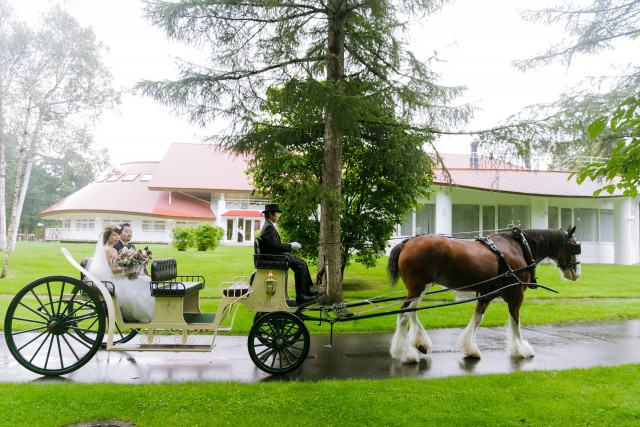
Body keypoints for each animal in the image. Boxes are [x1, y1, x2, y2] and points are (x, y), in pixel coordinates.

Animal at [384, 226, 580, 362]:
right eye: (574, 246)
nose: (577, 273)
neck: (519, 248)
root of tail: (406, 242)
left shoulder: (487, 293)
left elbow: (478, 318)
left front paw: (470, 348)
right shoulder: (516, 294)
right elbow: (515, 320)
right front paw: (521, 349)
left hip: (420, 288)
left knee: (411, 312)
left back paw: (420, 343)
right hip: (418, 288)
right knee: (403, 314)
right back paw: (406, 354)